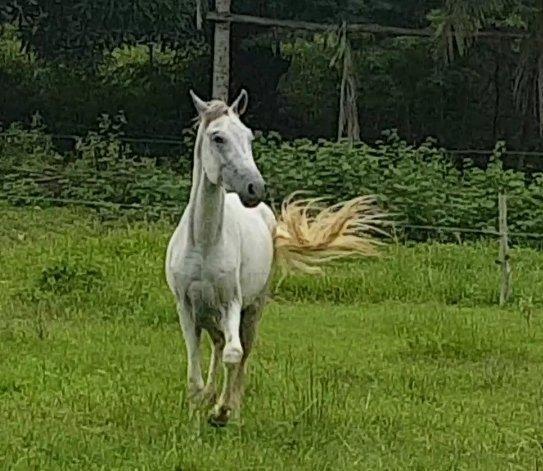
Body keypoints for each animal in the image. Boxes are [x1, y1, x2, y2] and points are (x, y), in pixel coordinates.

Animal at [166, 89, 386, 428]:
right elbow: (195, 375)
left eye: (248, 136)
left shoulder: (232, 303)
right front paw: (197, 414)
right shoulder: (186, 308)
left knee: (240, 353)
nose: (255, 187)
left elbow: (234, 355)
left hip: (252, 309)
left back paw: (230, 409)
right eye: (218, 137)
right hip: (210, 313)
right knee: (218, 346)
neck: (203, 244)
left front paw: (221, 413)